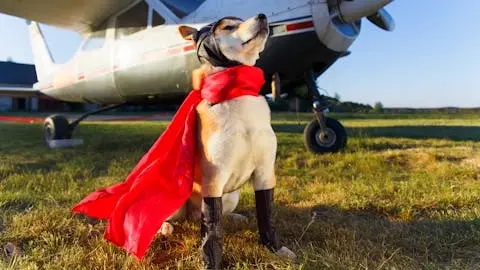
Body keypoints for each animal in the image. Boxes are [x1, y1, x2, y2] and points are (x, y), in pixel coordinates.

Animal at [158, 13, 292, 266]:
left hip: (232, 195)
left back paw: (236, 217)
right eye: (229, 26)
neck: (237, 89)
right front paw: (211, 261)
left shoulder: (265, 173)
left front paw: (275, 248)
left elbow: (266, 215)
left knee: (220, 215)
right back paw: (165, 228)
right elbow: (212, 231)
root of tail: (191, 216)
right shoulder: (214, 178)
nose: (262, 15)